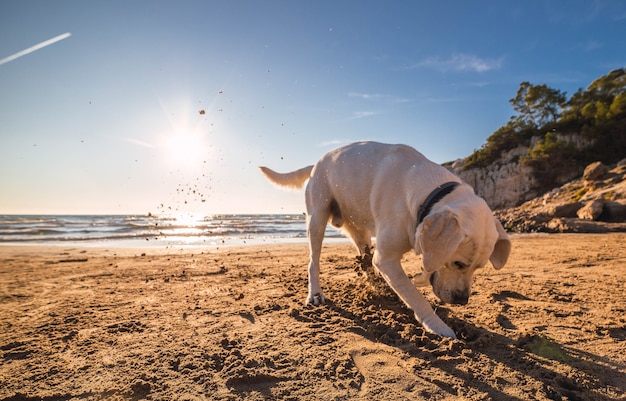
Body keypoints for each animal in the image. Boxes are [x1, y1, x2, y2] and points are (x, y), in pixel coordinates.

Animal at [258, 141, 508, 338]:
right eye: (458, 263)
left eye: (479, 268)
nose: (462, 300)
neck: (429, 193)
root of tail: (316, 164)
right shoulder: (386, 258)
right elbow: (416, 297)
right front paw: (439, 327)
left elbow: (421, 274)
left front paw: (416, 280)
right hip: (317, 218)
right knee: (314, 260)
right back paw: (315, 294)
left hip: (359, 230)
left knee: (366, 260)